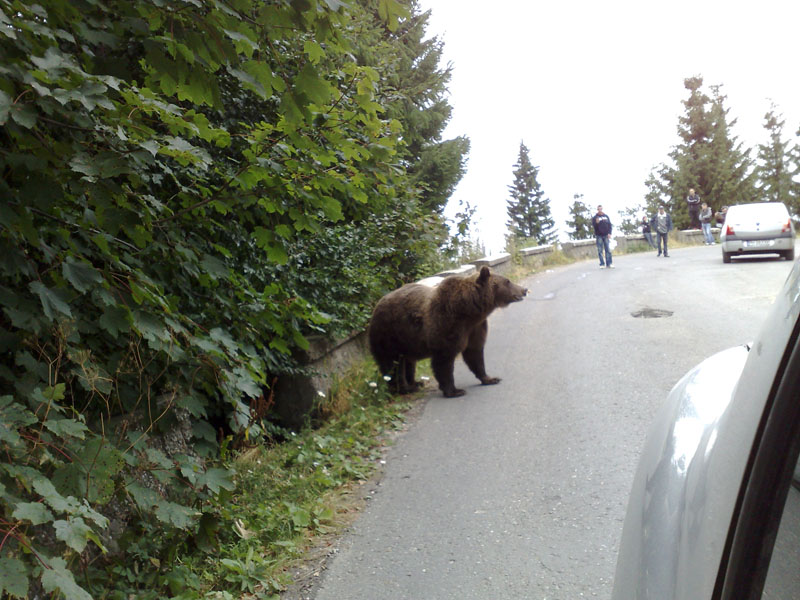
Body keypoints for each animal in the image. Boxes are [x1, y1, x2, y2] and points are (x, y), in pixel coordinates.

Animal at [368, 266, 528, 397]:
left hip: (407, 341)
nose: (524, 290)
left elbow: (474, 352)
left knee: (408, 362)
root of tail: (377, 305)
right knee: (392, 364)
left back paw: (415, 382)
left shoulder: (475, 327)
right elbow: (444, 360)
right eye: (507, 281)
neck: (470, 311)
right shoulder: (447, 324)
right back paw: (404, 388)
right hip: (389, 335)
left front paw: (490, 378)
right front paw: (454, 390)